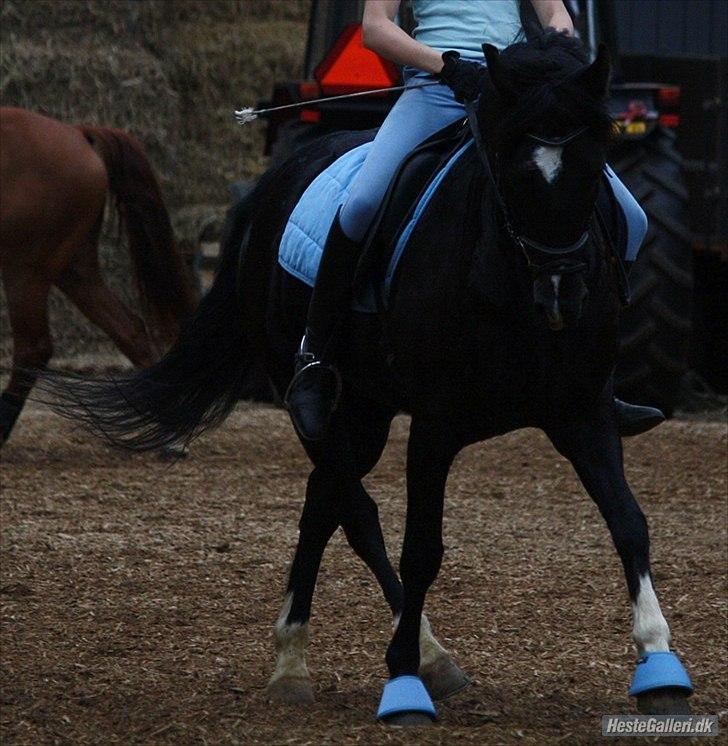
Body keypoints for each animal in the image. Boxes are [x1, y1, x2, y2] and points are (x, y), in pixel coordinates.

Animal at [0, 104, 196, 442]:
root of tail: (77, 133)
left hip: (25, 268)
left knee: (32, 349)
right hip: (73, 268)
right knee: (129, 329)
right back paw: (168, 435)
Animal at [41, 33, 692, 720]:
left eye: (596, 167)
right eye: (515, 172)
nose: (564, 294)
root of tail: (277, 179)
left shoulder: (582, 412)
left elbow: (629, 522)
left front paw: (660, 663)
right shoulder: (435, 426)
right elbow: (422, 547)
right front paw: (402, 678)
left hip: (366, 410)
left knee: (324, 501)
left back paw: (307, 660)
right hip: (327, 407)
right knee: (353, 509)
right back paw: (396, 657)